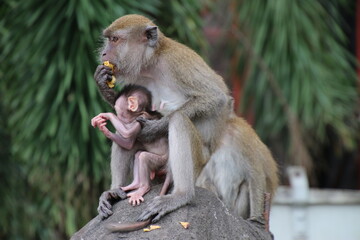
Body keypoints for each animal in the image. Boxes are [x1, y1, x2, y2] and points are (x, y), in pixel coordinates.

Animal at [93, 14, 278, 221]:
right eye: (108, 39)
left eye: (115, 40)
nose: (104, 54)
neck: (152, 63)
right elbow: (129, 112)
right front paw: (104, 86)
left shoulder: (177, 61)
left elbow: (216, 97)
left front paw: (155, 127)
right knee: (126, 133)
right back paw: (115, 190)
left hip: (195, 162)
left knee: (179, 121)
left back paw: (182, 195)